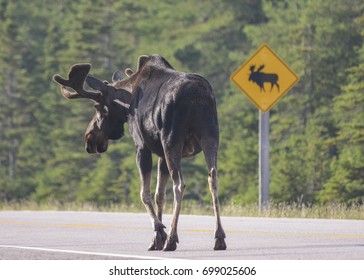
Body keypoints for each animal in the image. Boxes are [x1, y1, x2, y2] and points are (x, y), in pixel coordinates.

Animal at [52, 54, 226, 252]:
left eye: (97, 106)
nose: (89, 139)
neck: (127, 102)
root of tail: (195, 95)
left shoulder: (142, 146)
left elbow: (144, 193)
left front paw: (159, 233)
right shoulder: (160, 153)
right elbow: (159, 195)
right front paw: (157, 238)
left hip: (171, 140)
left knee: (179, 184)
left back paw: (172, 239)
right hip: (210, 136)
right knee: (213, 179)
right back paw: (219, 237)